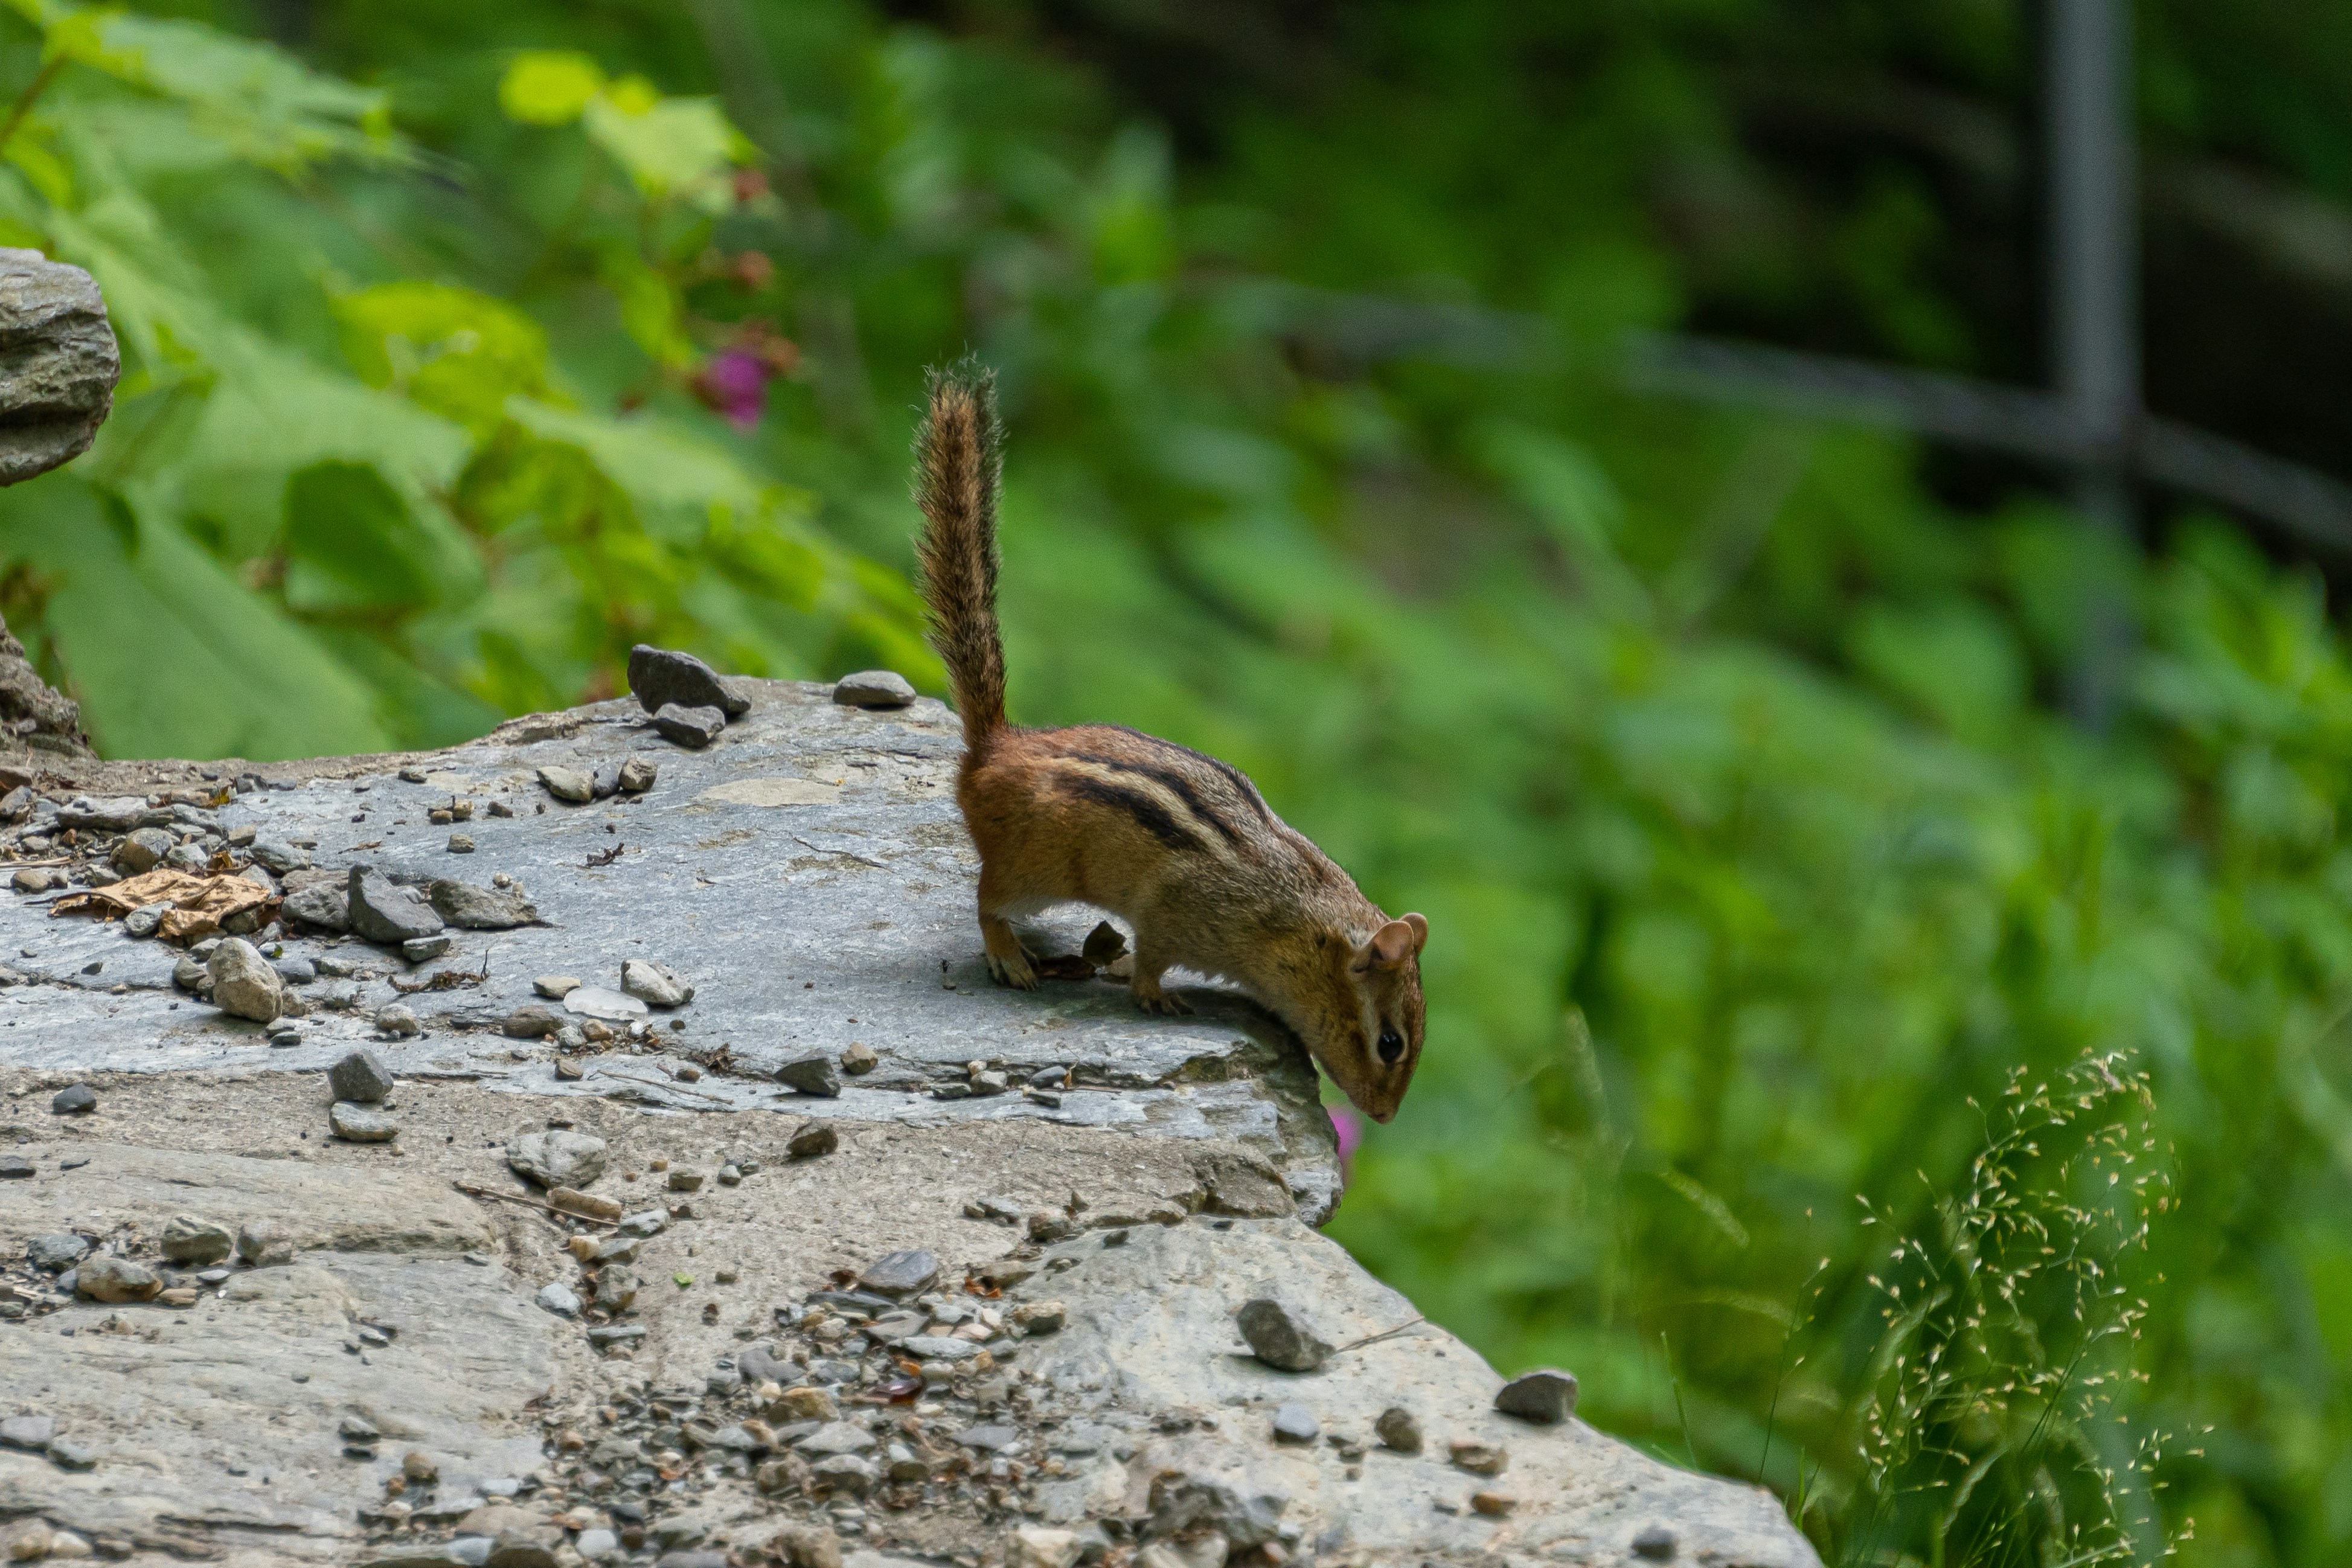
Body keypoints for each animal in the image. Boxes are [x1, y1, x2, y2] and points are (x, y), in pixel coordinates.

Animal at [910, 360, 1429, 1122]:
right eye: (1390, 1042)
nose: (1386, 1116)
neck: (1302, 919)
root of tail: (996, 744)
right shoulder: (1174, 908)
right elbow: (1152, 952)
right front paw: (1155, 991)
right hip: (1034, 868)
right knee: (986, 897)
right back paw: (1010, 955)